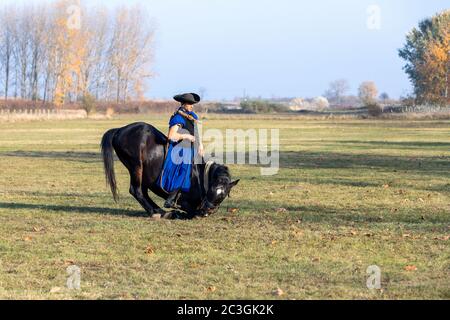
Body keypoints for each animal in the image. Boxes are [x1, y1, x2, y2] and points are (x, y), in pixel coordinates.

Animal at [99, 121, 239, 219]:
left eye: (223, 195)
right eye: (211, 189)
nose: (206, 211)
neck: (198, 176)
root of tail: (120, 130)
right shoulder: (186, 202)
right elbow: (190, 211)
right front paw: (177, 212)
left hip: (144, 173)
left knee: (143, 192)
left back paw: (159, 211)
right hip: (136, 167)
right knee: (136, 190)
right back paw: (157, 212)